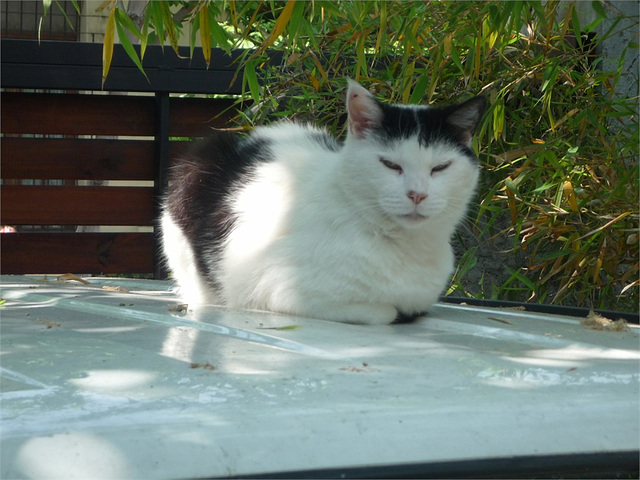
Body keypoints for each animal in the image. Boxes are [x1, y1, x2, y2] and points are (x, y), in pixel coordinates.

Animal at [160, 79, 484, 326]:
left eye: (441, 167)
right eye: (390, 165)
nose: (417, 194)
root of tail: (247, 138)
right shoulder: (279, 288)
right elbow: (385, 312)